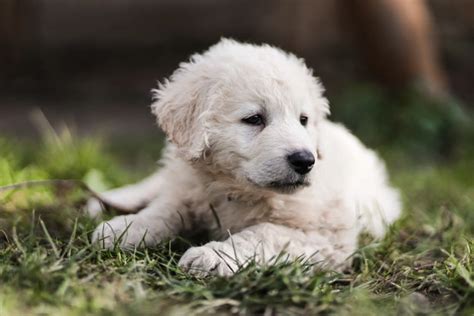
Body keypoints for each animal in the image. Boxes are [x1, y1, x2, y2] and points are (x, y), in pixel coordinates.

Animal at [89, 39, 400, 276]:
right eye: (254, 119)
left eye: (303, 120)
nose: (305, 161)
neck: (234, 187)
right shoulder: (191, 188)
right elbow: (165, 209)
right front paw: (127, 229)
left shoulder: (326, 237)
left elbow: (262, 233)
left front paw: (212, 257)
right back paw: (110, 202)